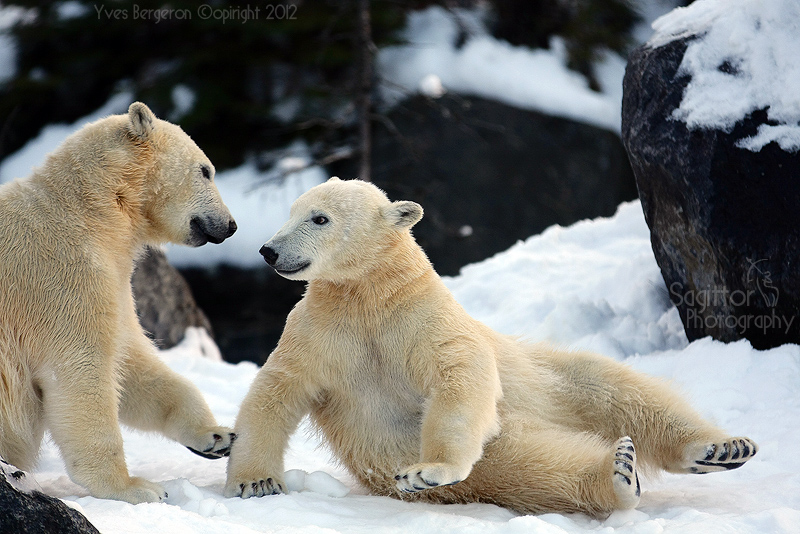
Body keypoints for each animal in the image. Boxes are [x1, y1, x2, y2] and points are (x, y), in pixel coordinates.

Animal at [0, 101, 236, 506]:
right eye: (206, 170)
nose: (231, 225)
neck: (88, 211)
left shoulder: (114, 279)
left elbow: (130, 363)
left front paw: (217, 435)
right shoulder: (61, 277)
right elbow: (81, 370)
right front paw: (137, 488)